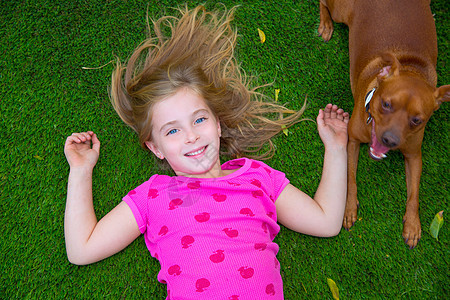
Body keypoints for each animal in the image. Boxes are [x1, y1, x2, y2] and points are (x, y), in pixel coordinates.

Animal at [318, 0, 448, 248]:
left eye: (417, 120)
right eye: (386, 104)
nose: (389, 140)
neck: (410, 68)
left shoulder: (414, 156)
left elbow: (414, 194)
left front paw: (413, 224)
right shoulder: (352, 142)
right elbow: (350, 179)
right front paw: (348, 209)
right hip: (340, 12)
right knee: (323, 3)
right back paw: (325, 25)